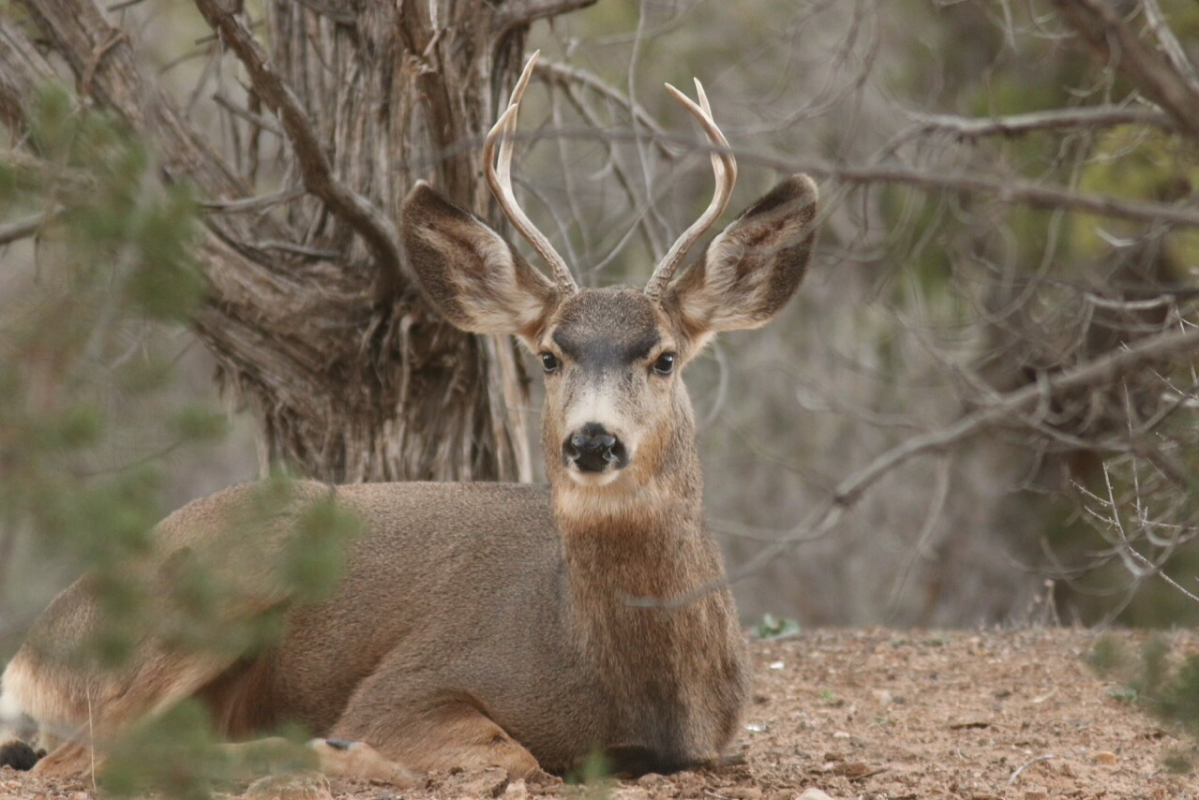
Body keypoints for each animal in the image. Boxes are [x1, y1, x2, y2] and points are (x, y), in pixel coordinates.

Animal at [0, 54, 815, 786]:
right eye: (549, 356)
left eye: (665, 357)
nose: (592, 440)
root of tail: (34, 646)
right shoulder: (412, 681)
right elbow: (513, 757)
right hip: (233, 571)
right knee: (100, 752)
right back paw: (329, 754)